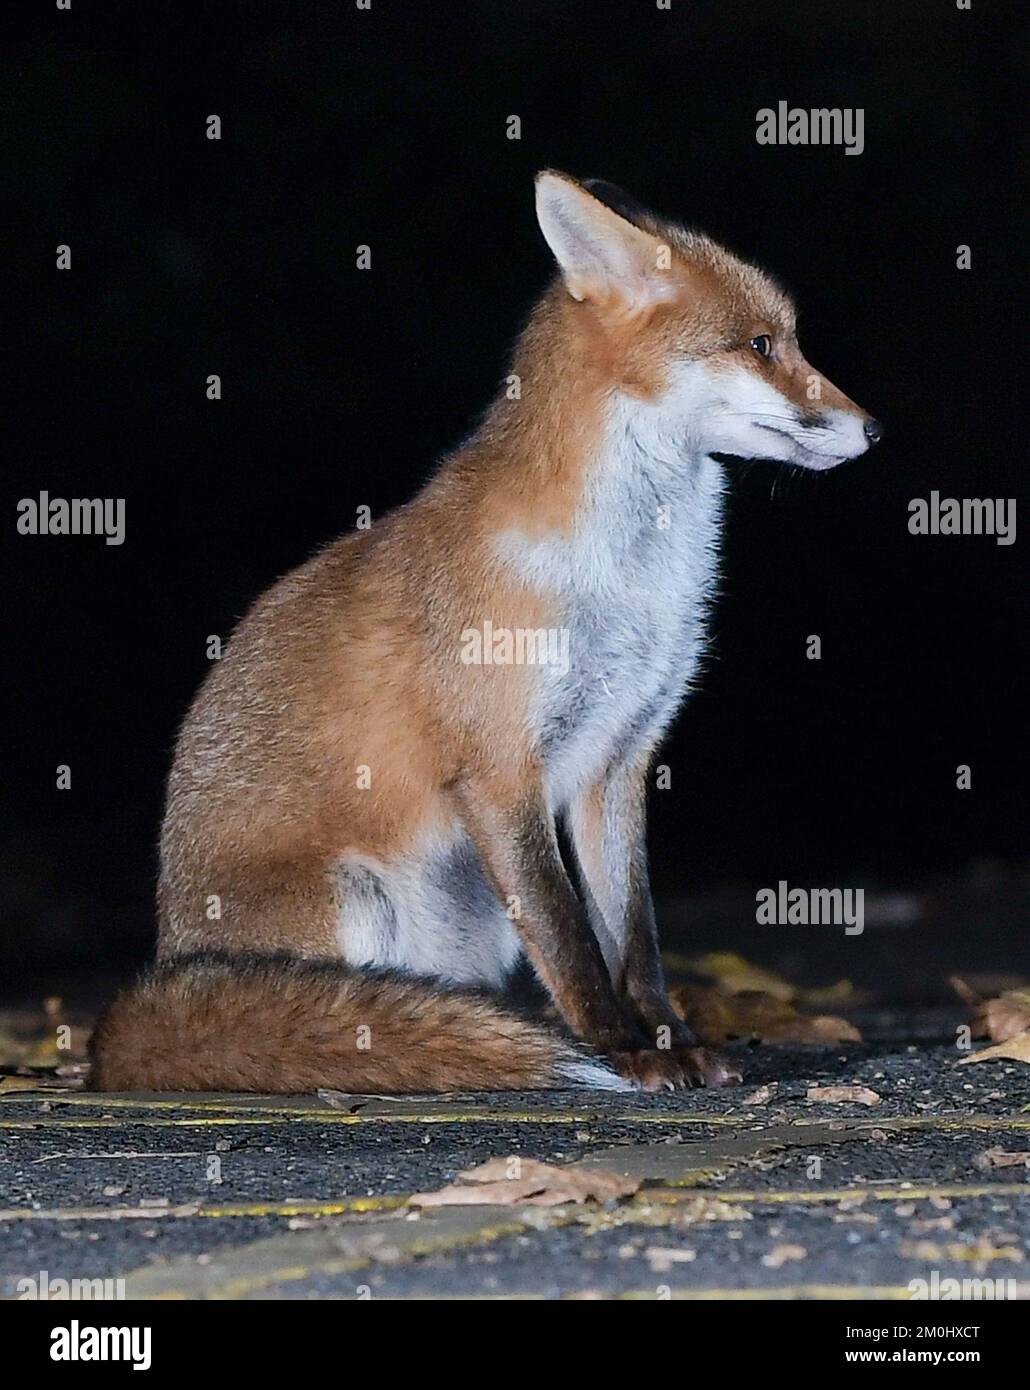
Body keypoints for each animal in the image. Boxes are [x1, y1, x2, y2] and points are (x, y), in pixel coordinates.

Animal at [89, 171, 880, 1095]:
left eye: (785, 339)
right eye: (761, 344)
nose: (874, 429)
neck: (630, 578)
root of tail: (148, 988)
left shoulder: (619, 757)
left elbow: (634, 936)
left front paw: (668, 1040)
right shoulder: (503, 770)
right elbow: (570, 940)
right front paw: (621, 1053)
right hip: (355, 898)